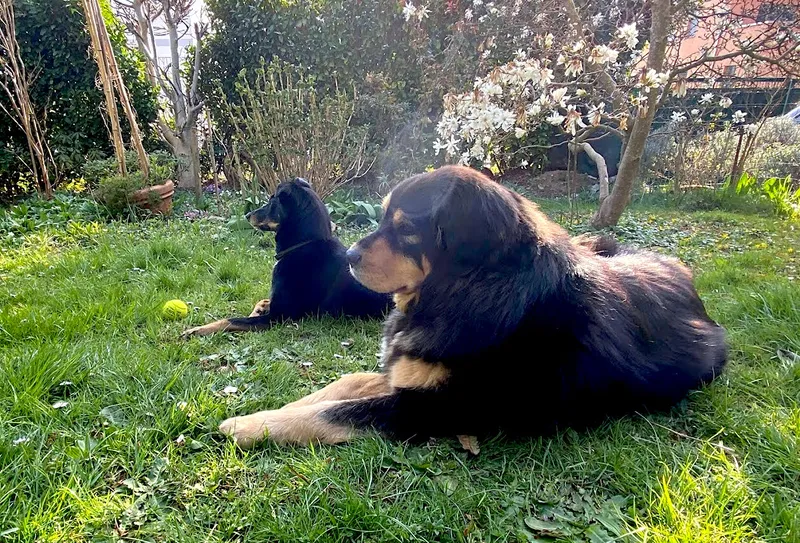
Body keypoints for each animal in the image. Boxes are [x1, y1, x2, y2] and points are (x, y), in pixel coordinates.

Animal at [183, 178, 390, 337]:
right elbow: (262, 301)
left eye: (271, 202)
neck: (303, 246)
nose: (247, 214)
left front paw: (198, 329)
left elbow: (231, 320)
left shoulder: (277, 317)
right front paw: (258, 307)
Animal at [218, 166, 727, 448]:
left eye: (406, 229)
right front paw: (274, 408)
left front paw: (246, 424)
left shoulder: (429, 407)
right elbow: (337, 388)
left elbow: (334, 412)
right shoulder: (403, 372)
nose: (348, 257)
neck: (468, 293)